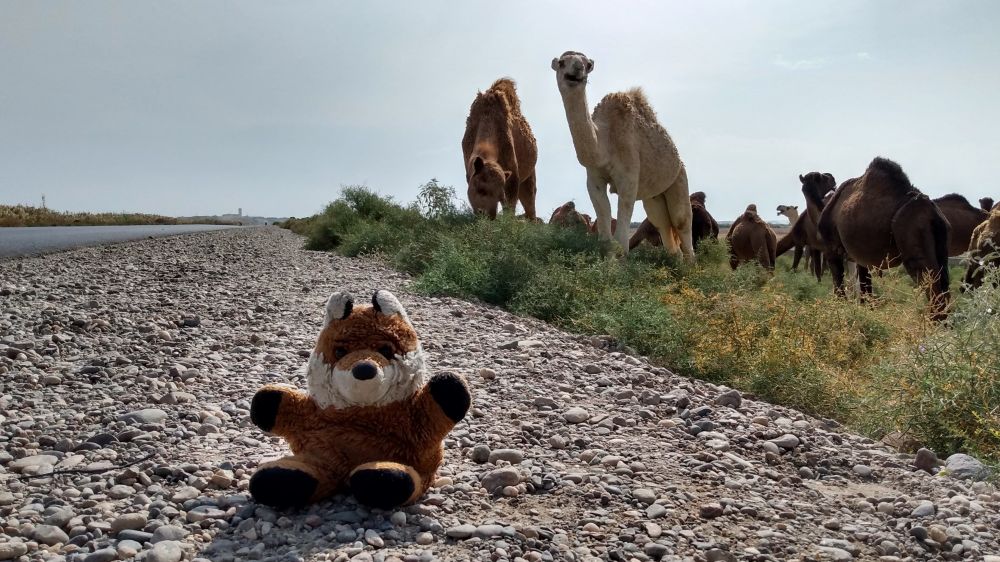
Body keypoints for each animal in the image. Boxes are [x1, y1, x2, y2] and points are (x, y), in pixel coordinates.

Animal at [462, 78, 538, 220]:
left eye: (499, 196)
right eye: (481, 189)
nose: (488, 215)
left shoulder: (512, 177)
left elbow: (510, 207)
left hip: (529, 177)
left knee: (530, 203)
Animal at [551, 51, 694, 260]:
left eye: (587, 64)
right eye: (562, 62)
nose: (578, 68)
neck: (605, 141)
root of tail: (679, 160)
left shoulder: (628, 177)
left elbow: (621, 239)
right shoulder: (594, 178)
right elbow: (605, 230)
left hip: (679, 178)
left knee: (681, 222)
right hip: (654, 197)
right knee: (663, 225)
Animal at [801, 158, 951, 320]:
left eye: (822, 178)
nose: (831, 177)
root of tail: (932, 214)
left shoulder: (832, 250)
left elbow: (839, 287)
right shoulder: (861, 259)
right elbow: (865, 291)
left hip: (912, 237)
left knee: (932, 288)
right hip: (941, 244)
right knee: (944, 287)